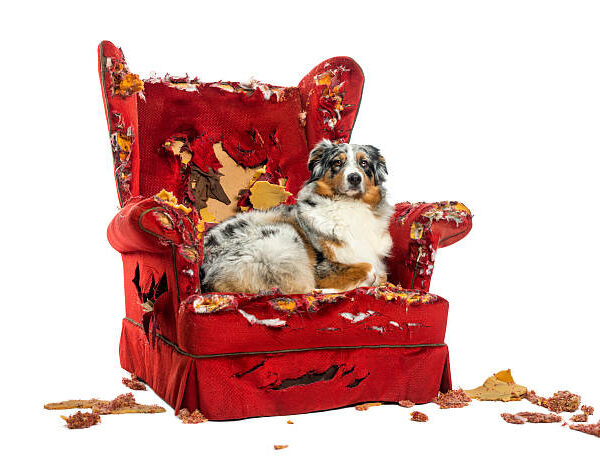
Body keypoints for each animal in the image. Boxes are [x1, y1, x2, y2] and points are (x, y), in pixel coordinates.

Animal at [200, 138, 394, 294]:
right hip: (282, 236)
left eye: (364, 163)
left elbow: (380, 273)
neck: (350, 204)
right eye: (337, 163)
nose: (354, 178)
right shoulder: (322, 267)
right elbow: (369, 269)